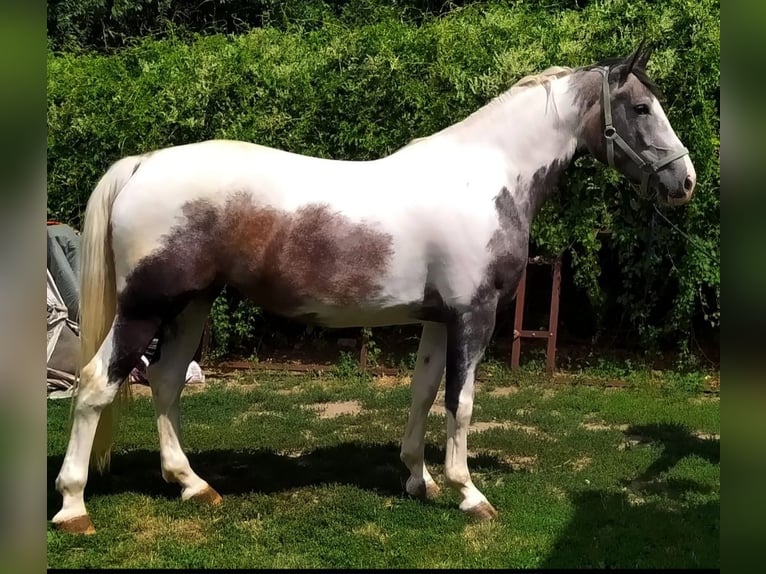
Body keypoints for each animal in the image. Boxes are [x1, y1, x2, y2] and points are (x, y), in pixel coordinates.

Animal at [52, 44, 695, 534]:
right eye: (641, 107)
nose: (685, 181)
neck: (486, 177)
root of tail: (143, 163)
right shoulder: (474, 316)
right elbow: (461, 403)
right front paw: (469, 493)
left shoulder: (437, 318)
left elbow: (423, 392)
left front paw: (419, 479)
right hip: (145, 308)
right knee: (96, 385)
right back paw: (74, 508)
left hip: (190, 307)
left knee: (164, 382)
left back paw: (192, 485)